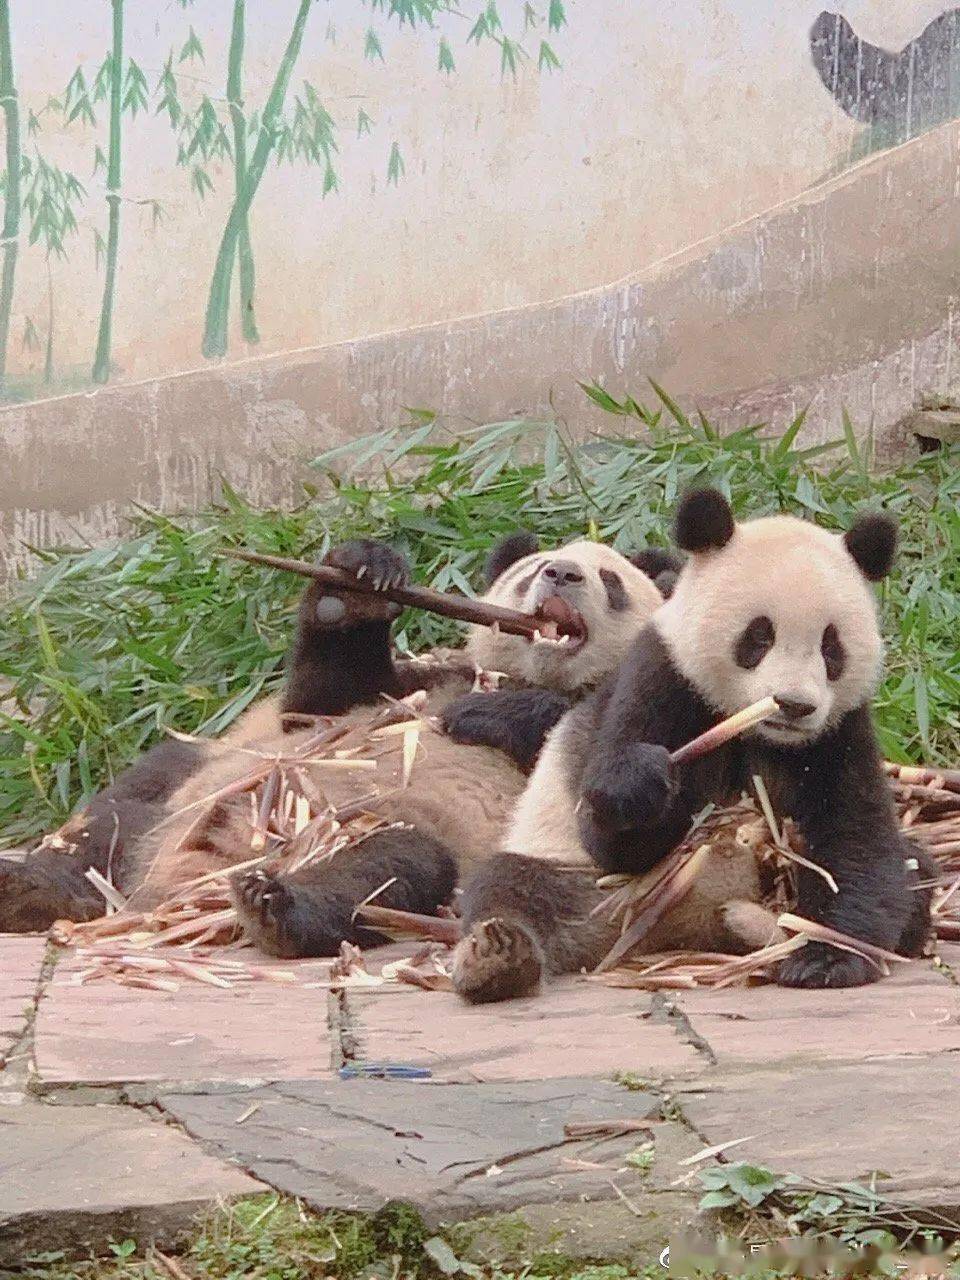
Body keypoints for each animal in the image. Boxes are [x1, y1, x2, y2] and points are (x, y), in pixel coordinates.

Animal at [0, 529, 675, 952]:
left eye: (610, 579)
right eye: (532, 569)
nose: (560, 572)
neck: (526, 671)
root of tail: (170, 890)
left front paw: (489, 716)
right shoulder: (415, 681)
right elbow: (321, 703)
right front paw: (357, 581)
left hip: (393, 832)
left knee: (394, 866)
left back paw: (276, 906)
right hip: (184, 795)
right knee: (113, 818)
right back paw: (31, 887)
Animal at [453, 488, 942, 998]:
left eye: (831, 647)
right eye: (758, 636)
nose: (793, 705)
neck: (755, 728)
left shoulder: (838, 730)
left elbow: (854, 839)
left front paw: (824, 957)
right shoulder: (661, 676)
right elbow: (612, 836)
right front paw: (638, 783)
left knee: (913, 869)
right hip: (577, 877)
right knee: (512, 887)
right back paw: (498, 956)